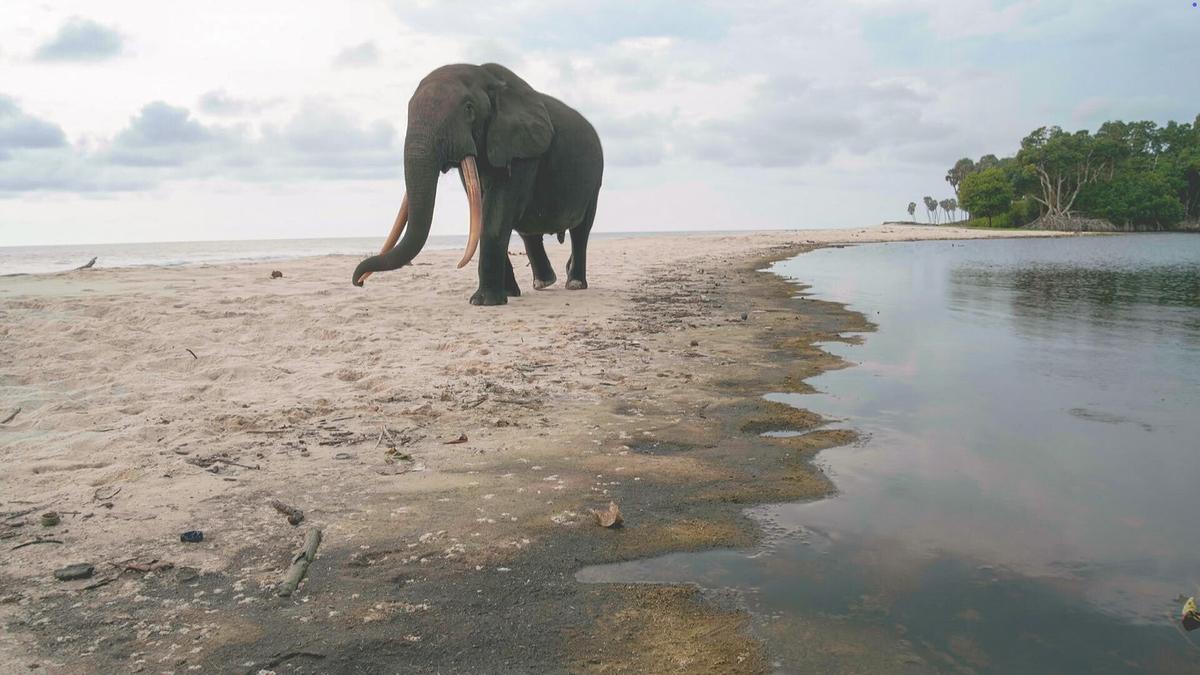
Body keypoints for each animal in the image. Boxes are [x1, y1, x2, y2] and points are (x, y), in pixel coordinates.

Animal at [352, 63, 604, 306]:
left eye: (468, 108)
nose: (359, 282)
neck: (489, 78)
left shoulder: (523, 149)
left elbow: (496, 214)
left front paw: (484, 302)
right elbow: (482, 210)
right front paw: (507, 295)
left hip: (595, 180)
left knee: (581, 230)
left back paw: (574, 284)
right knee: (528, 231)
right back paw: (543, 283)